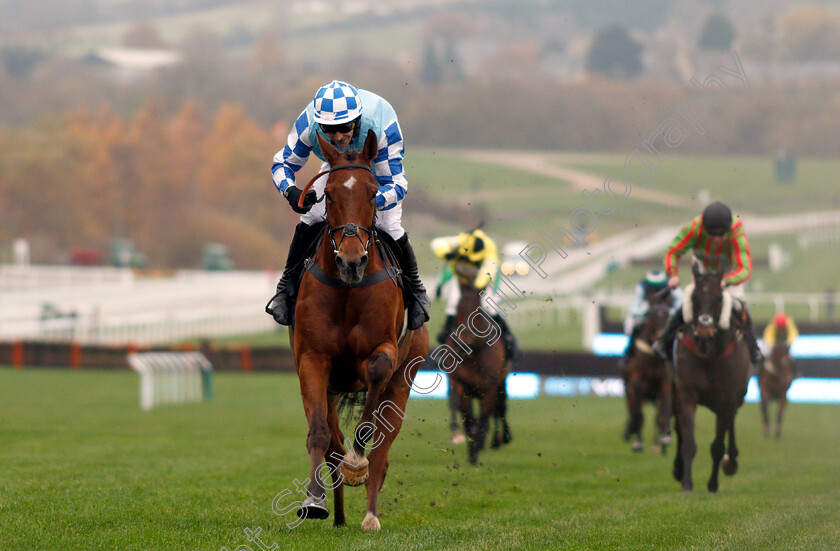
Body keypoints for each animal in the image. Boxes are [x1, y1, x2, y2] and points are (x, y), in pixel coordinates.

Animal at [292, 130, 430, 532]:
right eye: (328, 194)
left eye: (372, 193)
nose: (351, 262)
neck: (348, 291)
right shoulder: (313, 360)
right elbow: (320, 435)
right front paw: (314, 501)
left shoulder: (384, 351)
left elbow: (375, 381)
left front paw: (358, 462)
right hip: (331, 387)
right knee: (333, 444)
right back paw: (337, 514)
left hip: (404, 381)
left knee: (381, 454)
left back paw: (370, 515)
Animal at [446, 264, 512, 466]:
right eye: (459, 307)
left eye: (477, 308)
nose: (463, 342)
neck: (473, 353)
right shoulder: (461, 385)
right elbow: (469, 421)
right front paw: (470, 450)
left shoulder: (489, 388)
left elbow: (483, 420)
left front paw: (476, 452)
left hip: (501, 383)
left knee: (500, 409)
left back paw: (501, 439)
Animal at [624, 286, 676, 454]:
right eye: (652, 315)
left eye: (668, 315)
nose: (660, 338)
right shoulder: (635, 382)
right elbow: (638, 413)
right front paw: (637, 441)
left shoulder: (665, 382)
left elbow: (664, 411)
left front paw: (664, 439)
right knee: (634, 410)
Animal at [672, 260, 752, 494]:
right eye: (694, 298)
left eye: (718, 298)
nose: (704, 331)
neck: (709, 354)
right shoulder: (686, 392)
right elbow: (688, 441)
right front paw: (687, 483)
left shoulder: (728, 399)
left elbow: (718, 445)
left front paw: (713, 483)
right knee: (678, 429)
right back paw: (678, 469)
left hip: (736, 397)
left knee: (731, 425)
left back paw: (731, 461)